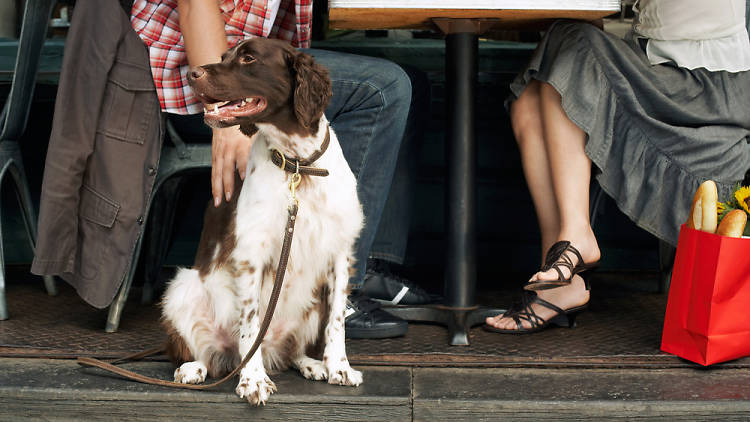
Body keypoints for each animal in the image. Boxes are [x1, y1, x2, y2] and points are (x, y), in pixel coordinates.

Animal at [163, 38, 366, 404]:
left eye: (248, 58)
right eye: (225, 56)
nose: (191, 73)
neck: (298, 165)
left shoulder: (341, 252)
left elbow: (337, 321)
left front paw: (339, 367)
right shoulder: (250, 255)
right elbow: (251, 323)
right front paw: (253, 379)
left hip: (312, 304)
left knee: (290, 353)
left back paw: (311, 363)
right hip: (182, 288)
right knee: (206, 355)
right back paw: (193, 368)